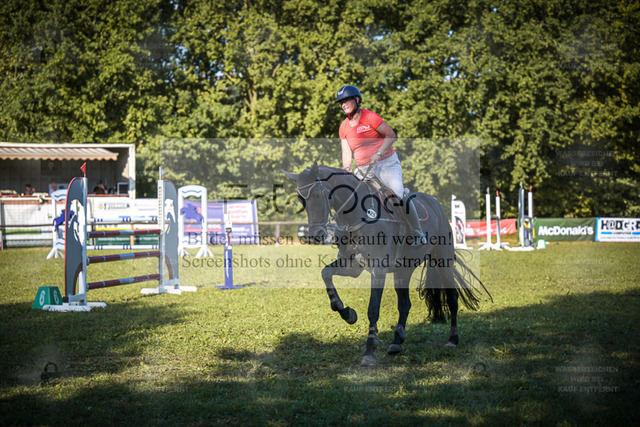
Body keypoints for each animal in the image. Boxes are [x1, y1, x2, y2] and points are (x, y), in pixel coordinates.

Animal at [284, 163, 491, 366]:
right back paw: (397, 341)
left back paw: (452, 340)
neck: (357, 216)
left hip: (442, 261)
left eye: (318, 195)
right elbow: (326, 273)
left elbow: (373, 308)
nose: (314, 235)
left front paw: (369, 351)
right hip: (403, 271)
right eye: (301, 200)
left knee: (452, 298)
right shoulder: (352, 266)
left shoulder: (379, 269)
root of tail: (435, 203)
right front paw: (347, 313)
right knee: (405, 304)